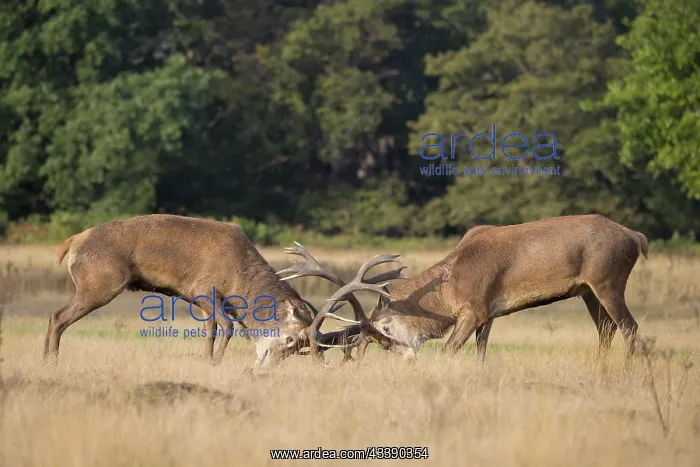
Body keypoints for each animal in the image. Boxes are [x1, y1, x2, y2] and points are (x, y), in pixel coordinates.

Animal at [46, 214, 403, 368]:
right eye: (291, 341)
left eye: (296, 350)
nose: (268, 366)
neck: (239, 280)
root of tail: (70, 243)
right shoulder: (203, 288)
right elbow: (226, 327)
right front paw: (215, 362)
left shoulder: (211, 301)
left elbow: (212, 329)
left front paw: (207, 360)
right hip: (100, 282)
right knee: (58, 316)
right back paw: (50, 361)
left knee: (55, 316)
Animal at [327, 214, 649, 363]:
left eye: (384, 328)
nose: (407, 357)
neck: (449, 290)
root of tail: (635, 238)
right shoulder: (489, 312)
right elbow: (481, 352)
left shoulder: (474, 308)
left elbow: (449, 349)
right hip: (588, 291)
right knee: (606, 328)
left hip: (608, 281)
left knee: (629, 326)